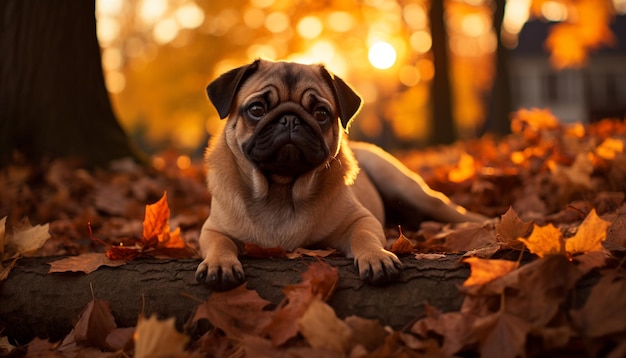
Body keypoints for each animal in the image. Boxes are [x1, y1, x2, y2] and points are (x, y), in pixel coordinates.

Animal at [194, 60, 482, 290]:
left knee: (450, 209)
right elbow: (220, 244)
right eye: (257, 109)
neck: (282, 191)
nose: (290, 120)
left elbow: (365, 236)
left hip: (408, 188)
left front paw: (377, 258)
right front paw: (220, 264)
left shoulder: (360, 219)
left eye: (321, 113)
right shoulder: (214, 229)